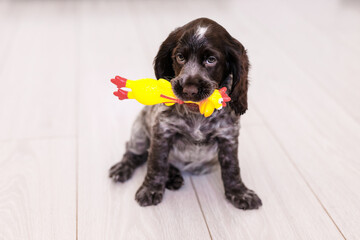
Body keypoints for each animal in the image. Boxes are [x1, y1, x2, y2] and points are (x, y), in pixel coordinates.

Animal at [109, 17, 262, 210]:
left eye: (211, 60)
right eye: (180, 57)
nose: (189, 90)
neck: (197, 116)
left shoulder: (228, 137)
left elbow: (232, 168)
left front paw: (239, 192)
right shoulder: (162, 131)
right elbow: (156, 163)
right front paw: (150, 189)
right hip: (139, 130)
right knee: (134, 152)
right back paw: (124, 168)